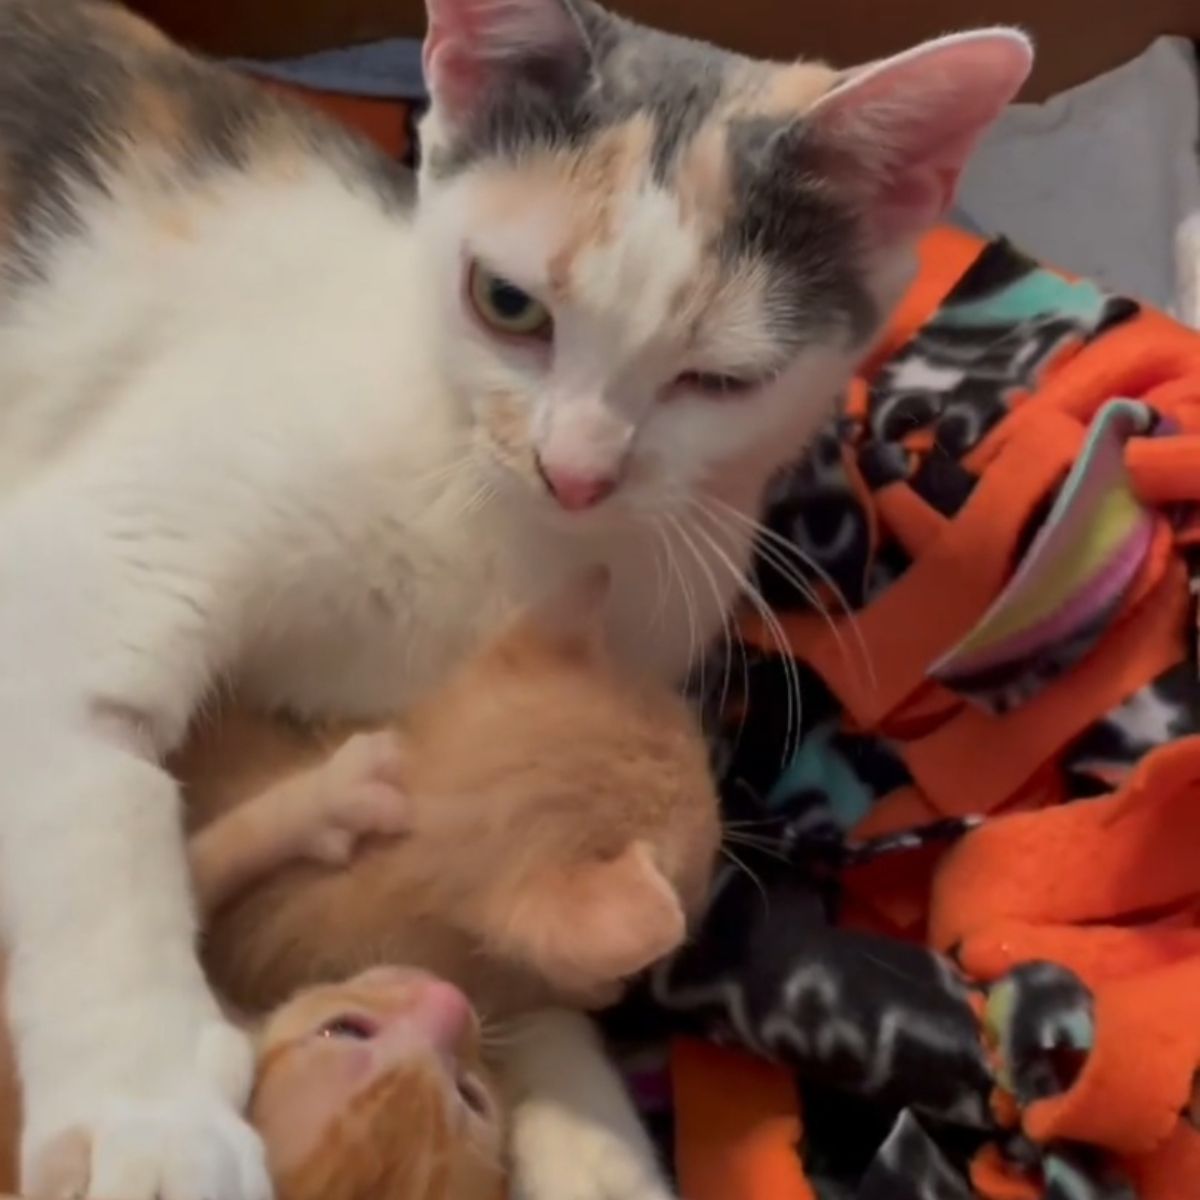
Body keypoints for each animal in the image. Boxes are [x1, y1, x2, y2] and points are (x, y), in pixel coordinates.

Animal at [0, 2, 1032, 1200]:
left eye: (724, 382)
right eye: (507, 306)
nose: (576, 472)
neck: (501, 535)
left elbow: (515, 970)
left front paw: (592, 1150)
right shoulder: (90, 561)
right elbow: (100, 811)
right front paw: (151, 1115)